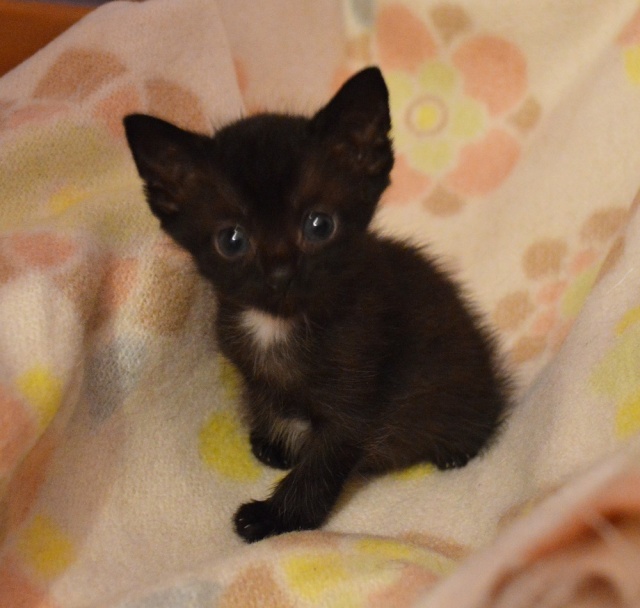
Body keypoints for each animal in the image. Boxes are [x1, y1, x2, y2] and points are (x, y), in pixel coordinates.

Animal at [121, 66, 510, 540]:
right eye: (231, 240)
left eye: (319, 225)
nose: (280, 271)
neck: (278, 325)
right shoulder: (250, 369)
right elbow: (265, 400)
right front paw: (273, 442)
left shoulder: (357, 395)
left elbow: (319, 468)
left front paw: (272, 517)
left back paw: (456, 449)